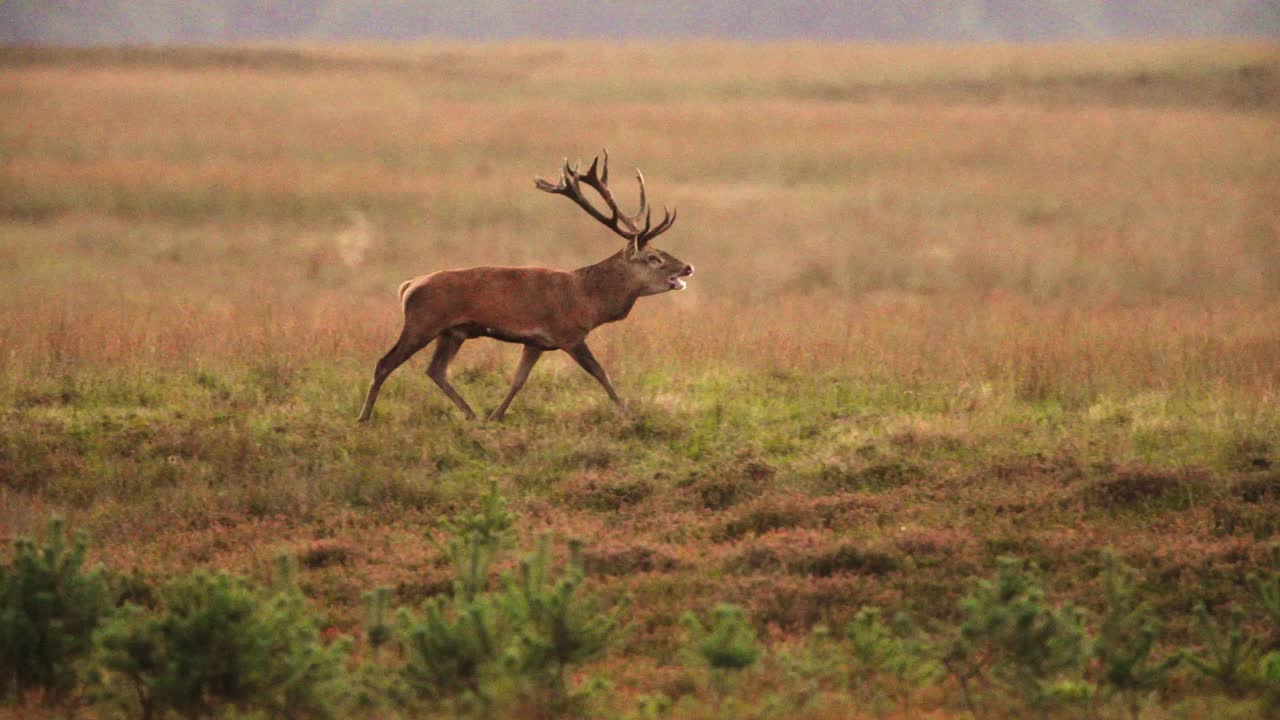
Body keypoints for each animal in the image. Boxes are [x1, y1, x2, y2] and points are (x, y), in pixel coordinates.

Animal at [356, 150, 693, 424]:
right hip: (422, 322)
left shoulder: (536, 342)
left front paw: (495, 416)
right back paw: (364, 417)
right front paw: (626, 413)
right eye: (653, 258)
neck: (588, 299)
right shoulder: (568, 333)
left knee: (435, 370)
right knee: (385, 363)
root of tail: (408, 286)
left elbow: (518, 380)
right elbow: (601, 373)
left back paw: (471, 414)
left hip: (452, 332)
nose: (687, 267)